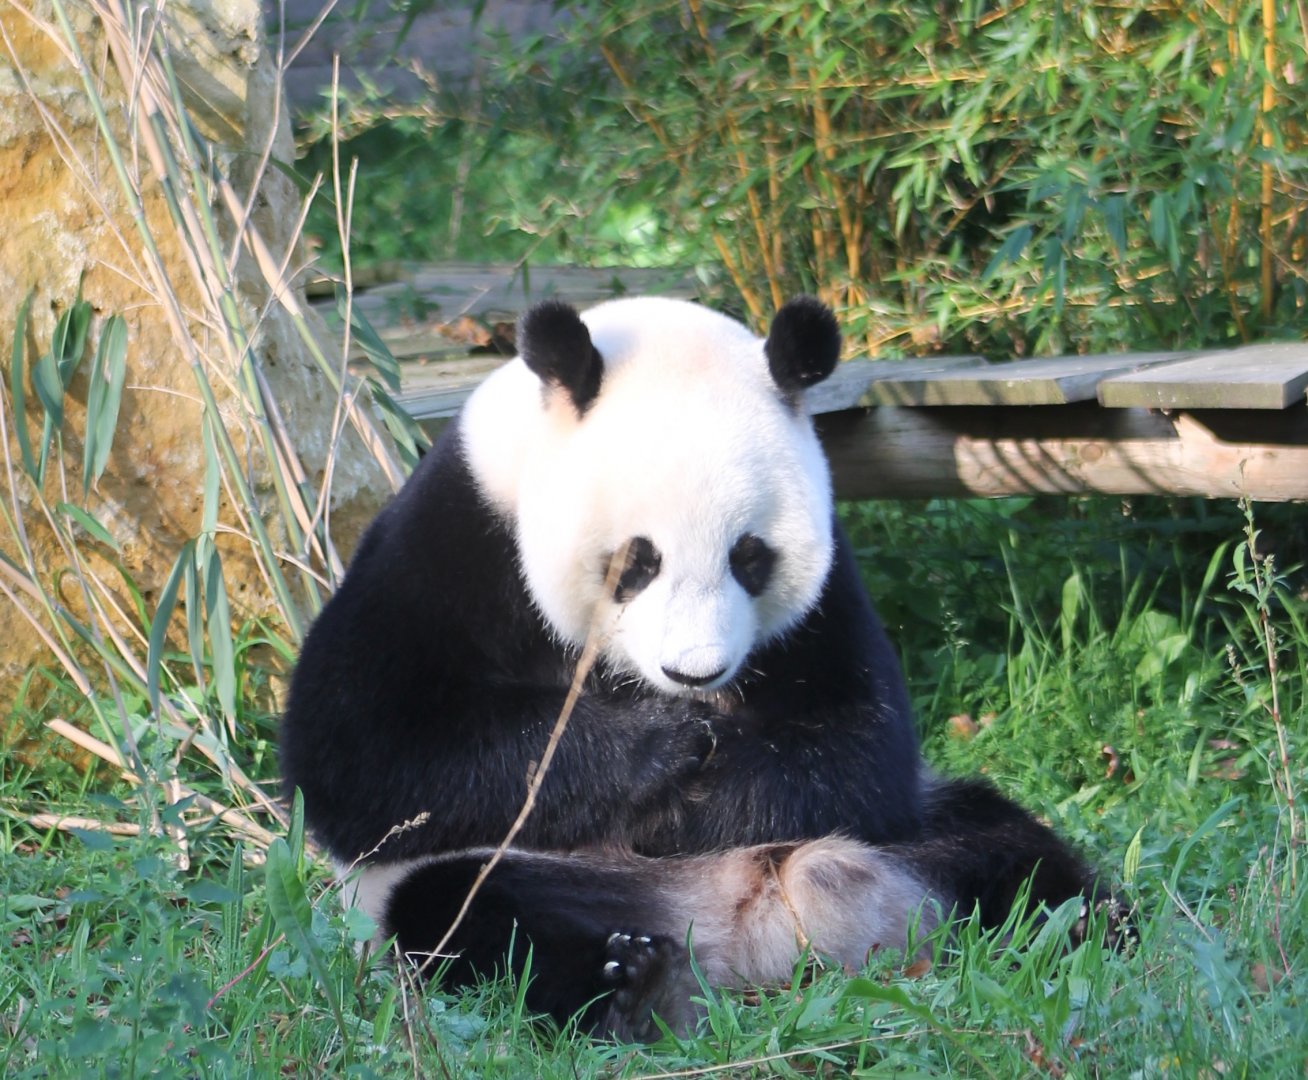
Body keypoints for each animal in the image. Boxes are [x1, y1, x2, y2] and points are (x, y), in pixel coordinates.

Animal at [280, 295, 1107, 1041]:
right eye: (637, 561)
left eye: (751, 556)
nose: (693, 673)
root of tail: (748, 930)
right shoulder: (458, 535)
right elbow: (365, 754)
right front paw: (659, 751)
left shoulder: (828, 595)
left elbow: (859, 751)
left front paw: (704, 787)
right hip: (474, 883)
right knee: (469, 916)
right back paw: (635, 992)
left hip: (934, 834)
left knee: (1011, 852)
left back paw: (1083, 933)